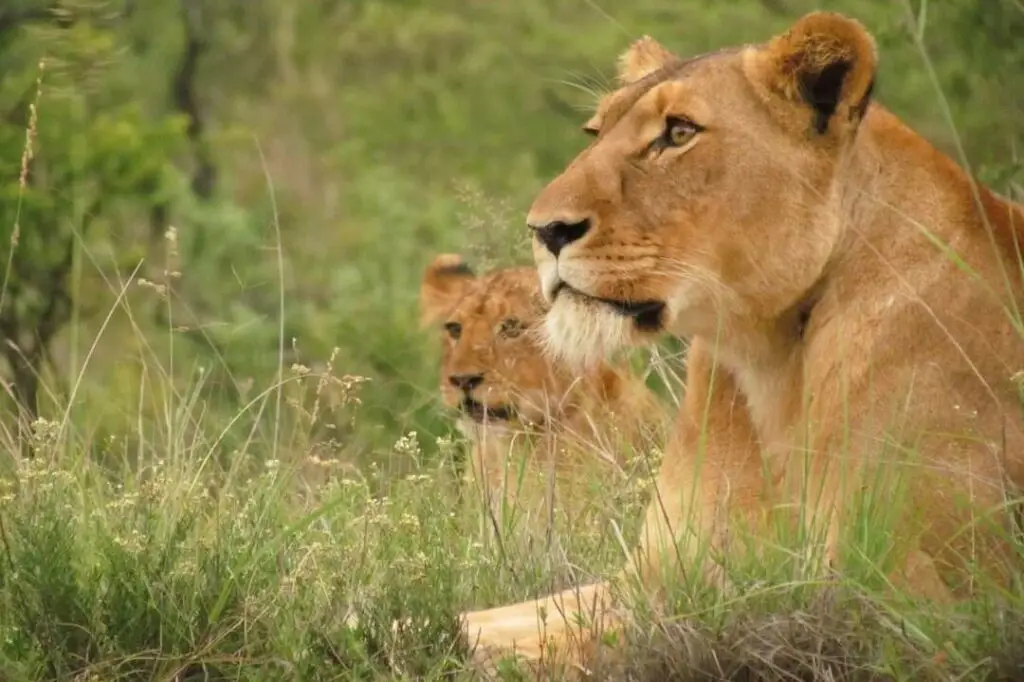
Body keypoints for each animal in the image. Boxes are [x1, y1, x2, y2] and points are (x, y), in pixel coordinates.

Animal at [459, 11, 1024, 675]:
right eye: (594, 131)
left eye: (678, 133)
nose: (544, 230)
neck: (769, 362)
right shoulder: (649, 575)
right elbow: (472, 621)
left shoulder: (918, 614)